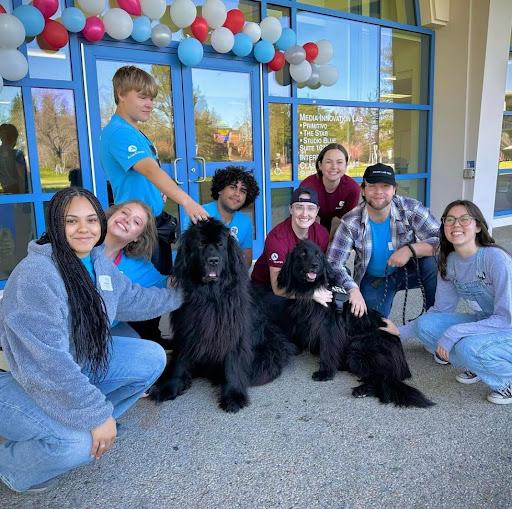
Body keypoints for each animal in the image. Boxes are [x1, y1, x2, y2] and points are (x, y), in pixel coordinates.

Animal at [149, 218, 292, 412]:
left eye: (220, 245)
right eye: (201, 244)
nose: (213, 260)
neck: (210, 296)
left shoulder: (233, 331)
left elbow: (233, 363)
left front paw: (233, 395)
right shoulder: (187, 329)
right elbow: (180, 360)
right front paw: (170, 386)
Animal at [278, 239, 434, 408]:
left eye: (318, 255)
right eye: (302, 254)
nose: (315, 265)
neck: (312, 288)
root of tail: (402, 361)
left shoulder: (329, 327)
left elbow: (328, 349)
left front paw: (325, 372)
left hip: (358, 346)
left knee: (381, 378)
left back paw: (362, 390)